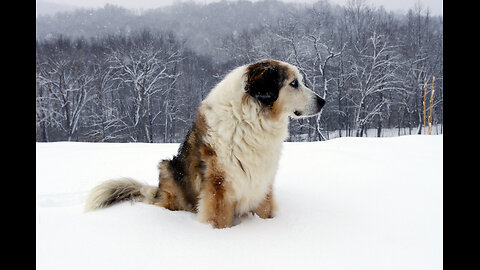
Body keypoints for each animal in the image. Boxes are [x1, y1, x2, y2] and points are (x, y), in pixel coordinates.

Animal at [85, 59, 326, 228]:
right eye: (293, 83)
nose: (323, 101)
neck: (251, 120)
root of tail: (156, 193)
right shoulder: (219, 186)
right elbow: (218, 220)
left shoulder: (262, 182)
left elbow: (264, 210)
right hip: (168, 168)